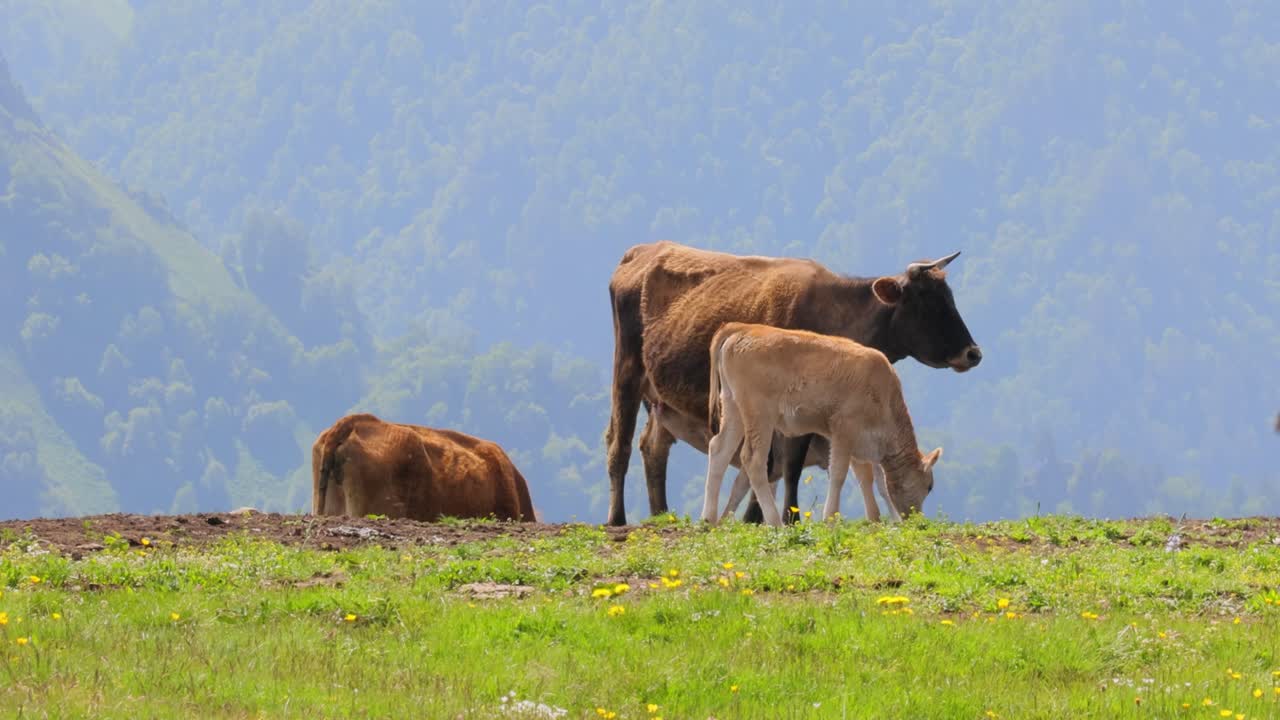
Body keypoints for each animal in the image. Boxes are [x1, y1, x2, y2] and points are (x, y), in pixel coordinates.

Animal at [702, 323, 943, 527]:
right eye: (930, 486)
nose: (917, 520)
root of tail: (743, 328)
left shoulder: (860, 442)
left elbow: (867, 478)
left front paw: (874, 519)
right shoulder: (843, 430)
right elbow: (838, 474)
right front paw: (831, 519)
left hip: (733, 409)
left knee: (719, 449)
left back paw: (709, 520)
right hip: (760, 414)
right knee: (753, 459)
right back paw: (775, 523)